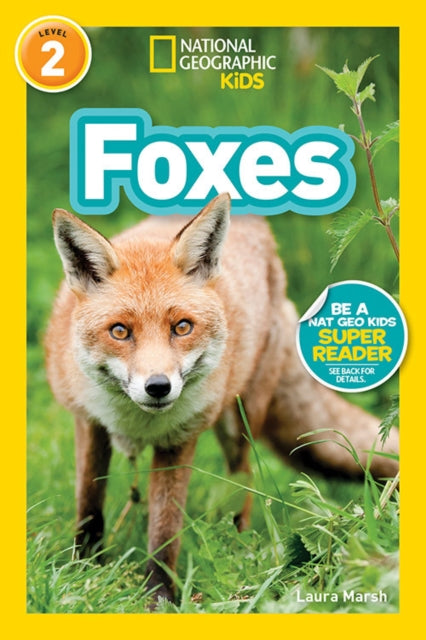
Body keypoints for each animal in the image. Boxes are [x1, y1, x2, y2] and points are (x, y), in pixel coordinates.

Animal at [45, 192, 399, 604]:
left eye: (182, 327)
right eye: (119, 331)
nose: (158, 386)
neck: (135, 420)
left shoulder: (179, 440)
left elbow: (165, 531)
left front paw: (159, 598)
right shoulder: (89, 422)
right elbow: (89, 504)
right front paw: (82, 570)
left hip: (239, 422)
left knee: (243, 481)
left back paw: (239, 548)